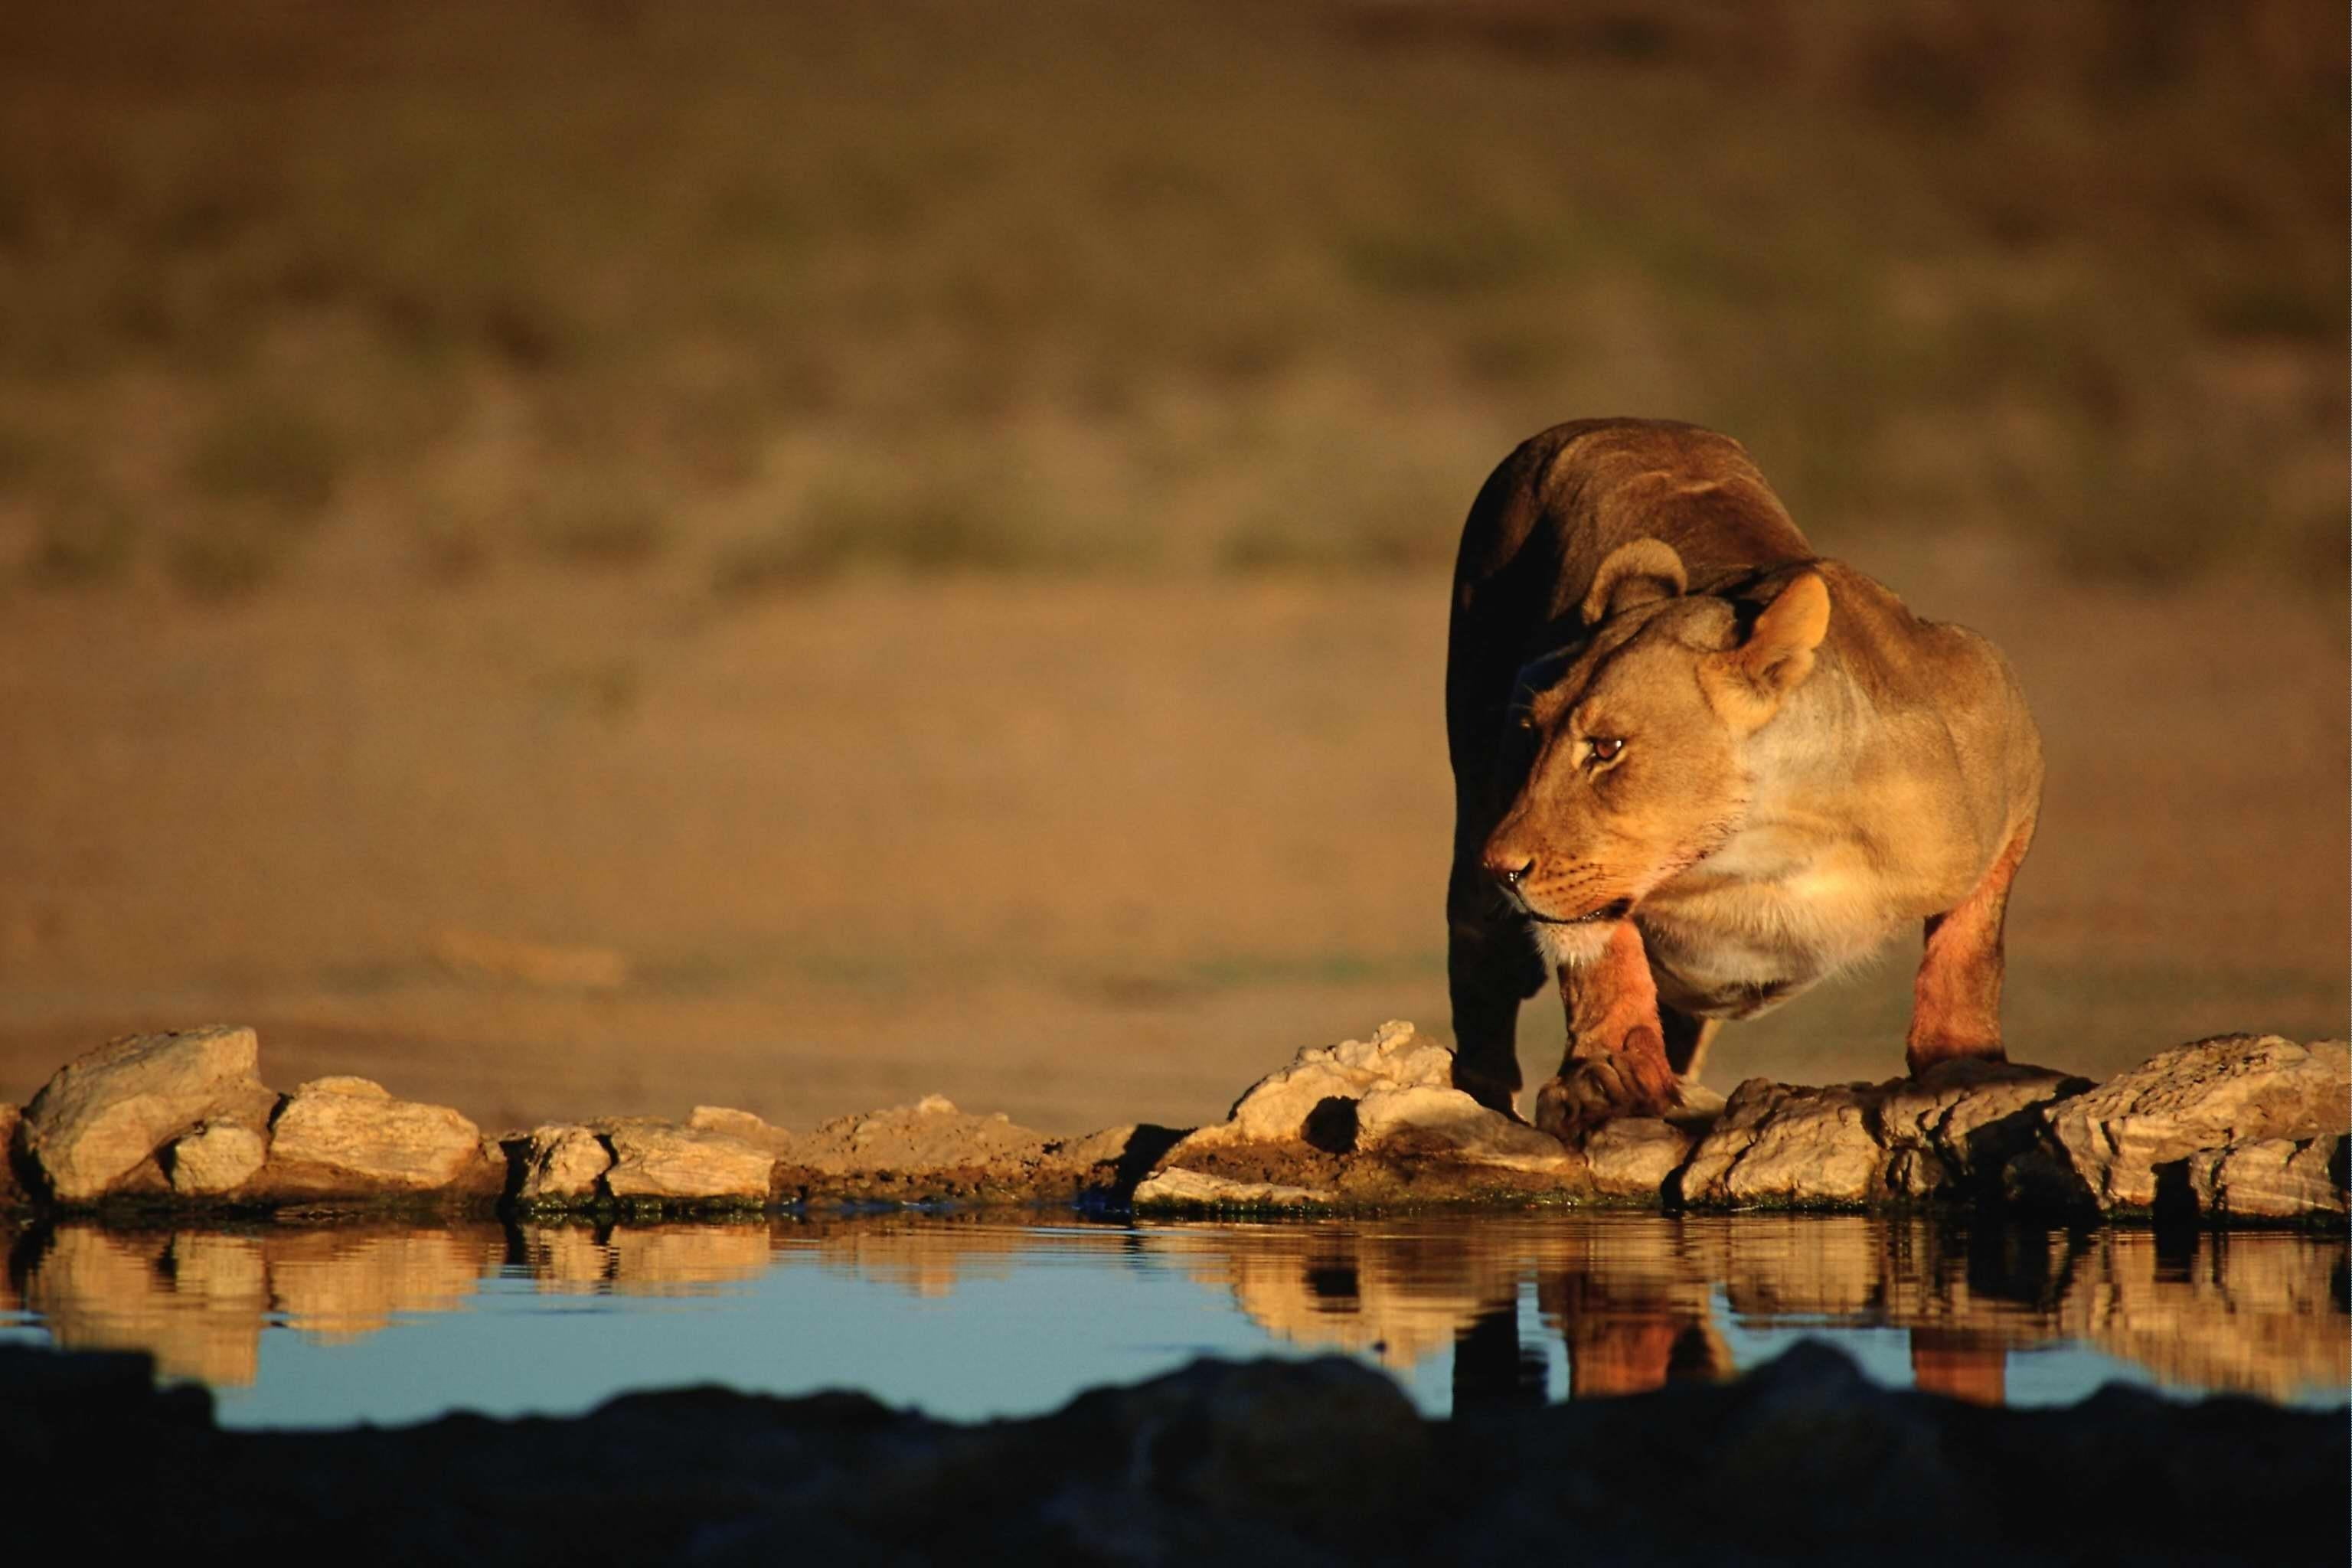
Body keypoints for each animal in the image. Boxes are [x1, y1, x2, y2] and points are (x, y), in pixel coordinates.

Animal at [1445, 418, 2043, 1141]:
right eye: (1534, 734)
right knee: (1479, 967)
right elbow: (1601, 956)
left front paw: (1965, 1059)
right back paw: (1482, 1098)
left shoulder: (2004, 734)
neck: (1764, 848)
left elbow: (1972, 943)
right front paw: (1607, 1079)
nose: (1502, 867)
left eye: (1607, 747)